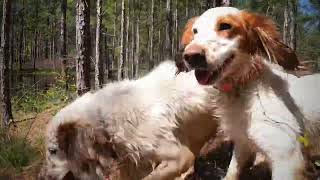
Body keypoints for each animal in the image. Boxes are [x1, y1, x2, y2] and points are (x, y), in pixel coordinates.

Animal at [179, 6, 320, 180]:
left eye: (225, 26)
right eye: (195, 31)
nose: (190, 56)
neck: (244, 86)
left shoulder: (286, 158)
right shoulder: (242, 142)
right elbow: (232, 171)